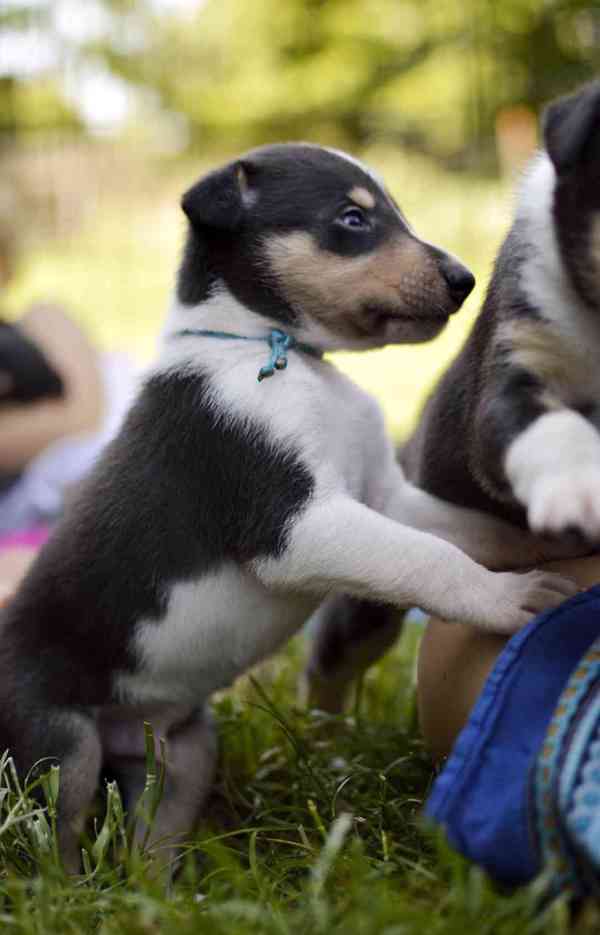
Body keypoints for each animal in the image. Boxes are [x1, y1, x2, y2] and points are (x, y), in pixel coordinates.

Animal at [0, 141, 576, 872]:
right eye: (353, 219)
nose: (464, 279)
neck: (276, 351)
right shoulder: (299, 522)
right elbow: (430, 560)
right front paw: (512, 599)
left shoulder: (384, 495)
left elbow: (467, 528)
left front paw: (553, 533)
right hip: (61, 747)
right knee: (57, 842)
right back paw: (78, 887)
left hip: (183, 755)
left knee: (147, 845)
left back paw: (166, 889)